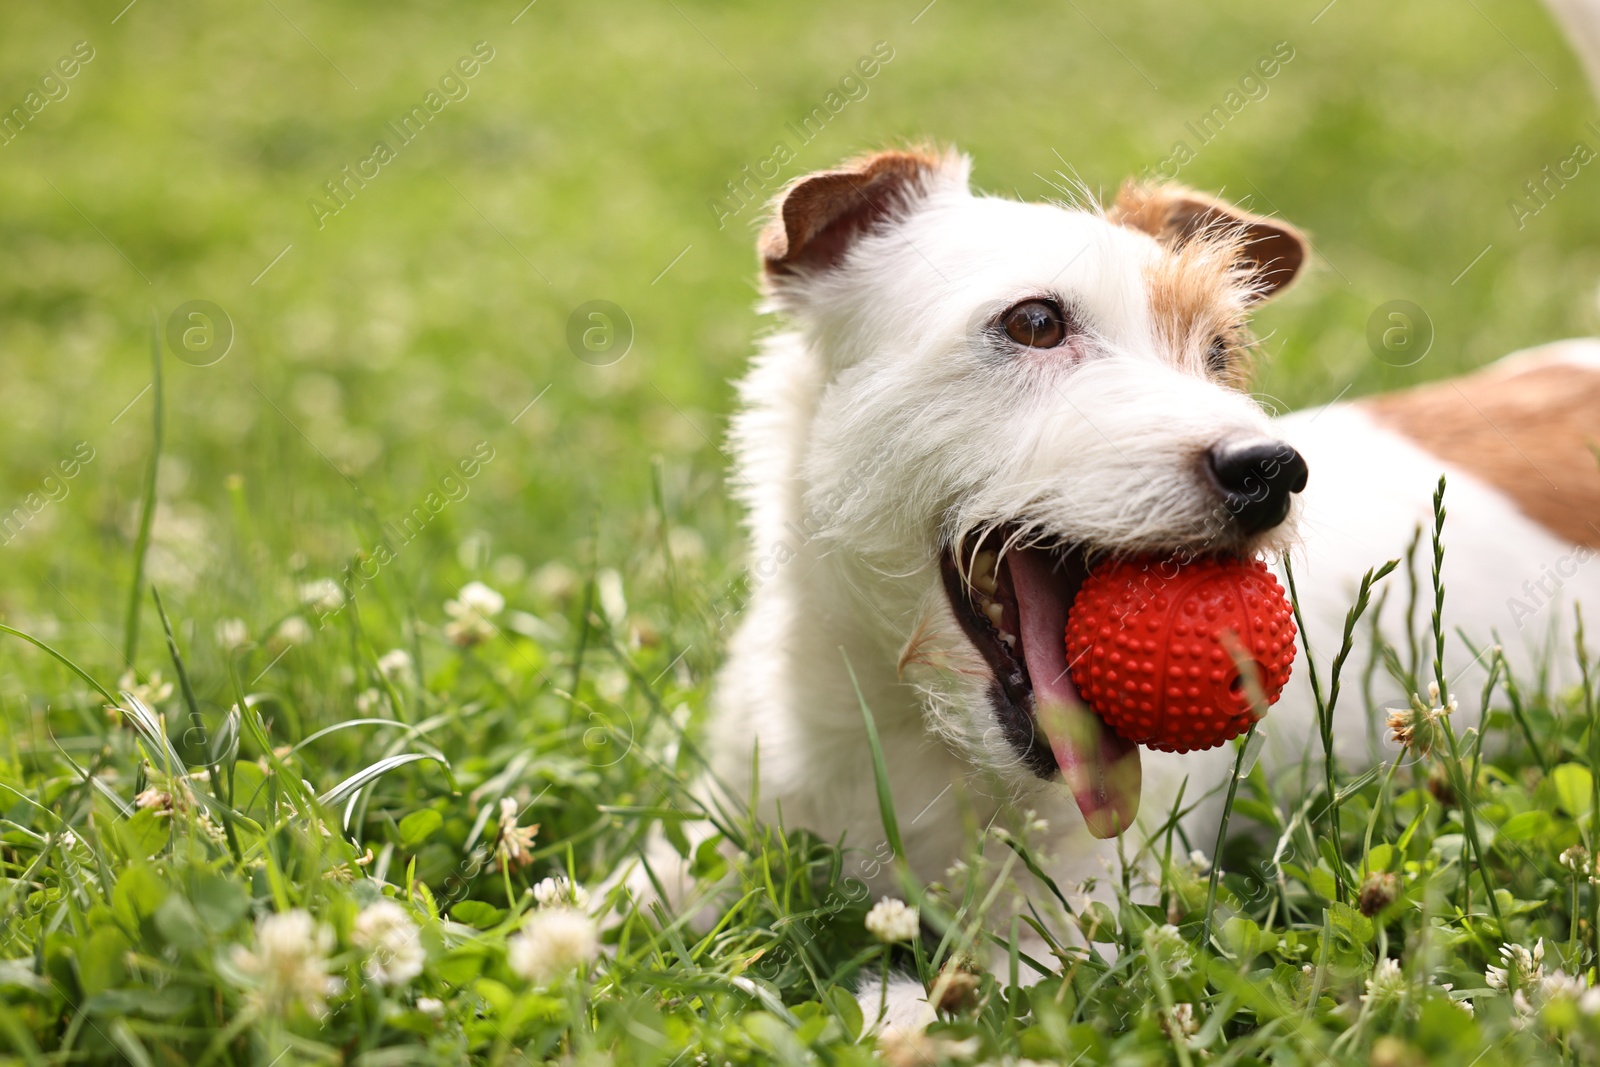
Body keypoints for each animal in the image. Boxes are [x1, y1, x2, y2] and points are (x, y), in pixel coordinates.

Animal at [672, 143, 1600, 1023]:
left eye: (1219, 353)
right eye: (1035, 321)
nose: (1271, 470)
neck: (909, 729)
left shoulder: (1081, 921)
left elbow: (929, 1007)